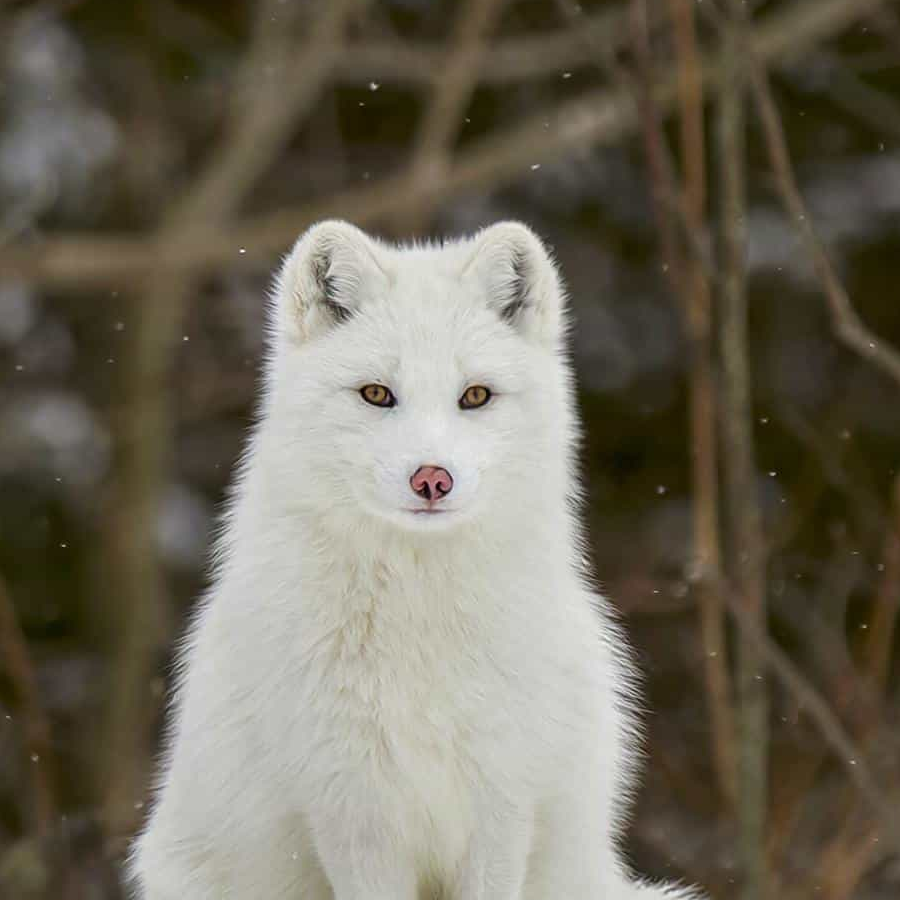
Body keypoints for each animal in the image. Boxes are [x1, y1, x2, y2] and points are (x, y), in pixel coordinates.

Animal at [130, 221, 700, 900]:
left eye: (475, 395)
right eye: (377, 394)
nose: (433, 479)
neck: (419, 619)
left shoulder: (503, 804)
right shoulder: (353, 813)